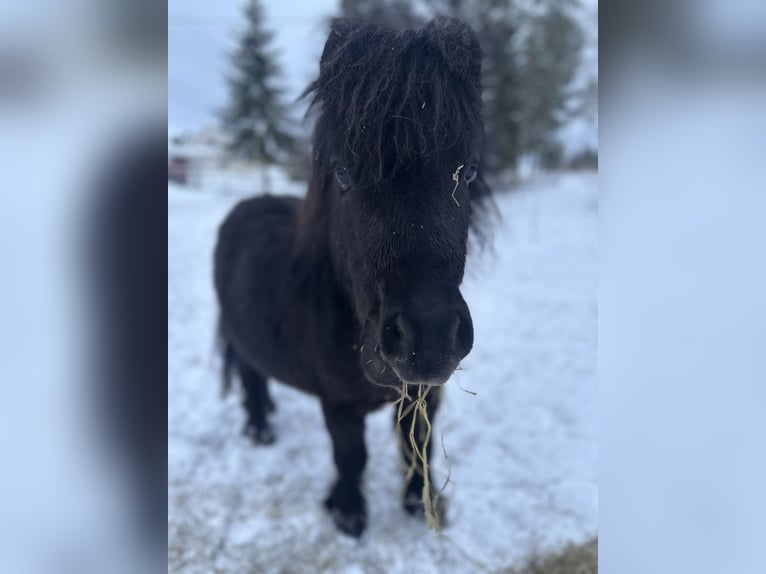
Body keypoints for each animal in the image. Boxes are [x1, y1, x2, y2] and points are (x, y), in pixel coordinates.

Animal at [214, 17, 491, 537]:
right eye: (343, 174)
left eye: (468, 172)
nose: (428, 339)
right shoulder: (339, 405)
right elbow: (351, 458)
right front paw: (348, 513)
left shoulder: (424, 396)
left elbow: (414, 449)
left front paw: (420, 504)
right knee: (249, 373)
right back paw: (260, 428)